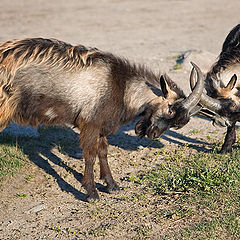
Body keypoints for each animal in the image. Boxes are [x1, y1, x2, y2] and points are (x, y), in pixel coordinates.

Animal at [0, 38, 203, 202]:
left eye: (177, 123)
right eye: (170, 110)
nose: (153, 134)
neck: (120, 85)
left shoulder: (101, 125)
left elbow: (103, 152)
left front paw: (111, 184)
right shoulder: (90, 124)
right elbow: (90, 156)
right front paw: (91, 193)